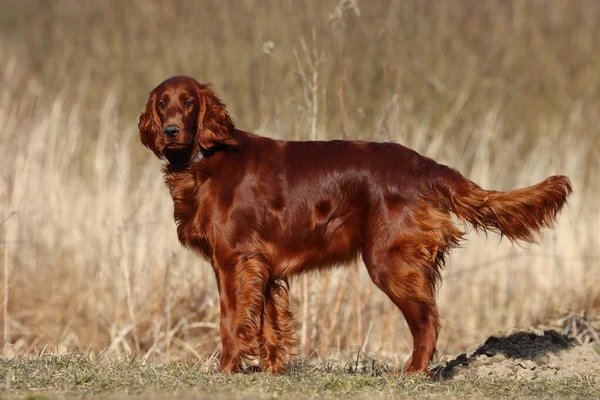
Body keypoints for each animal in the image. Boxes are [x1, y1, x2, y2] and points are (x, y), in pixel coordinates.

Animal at [138, 75, 576, 376]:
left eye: (189, 102)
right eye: (162, 103)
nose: (172, 131)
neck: (203, 159)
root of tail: (427, 167)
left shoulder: (233, 260)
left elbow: (231, 320)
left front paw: (226, 369)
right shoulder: (262, 267)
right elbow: (269, 325)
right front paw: (270, 370)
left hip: (388, 261)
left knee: (428, 320)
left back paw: (411, 373)